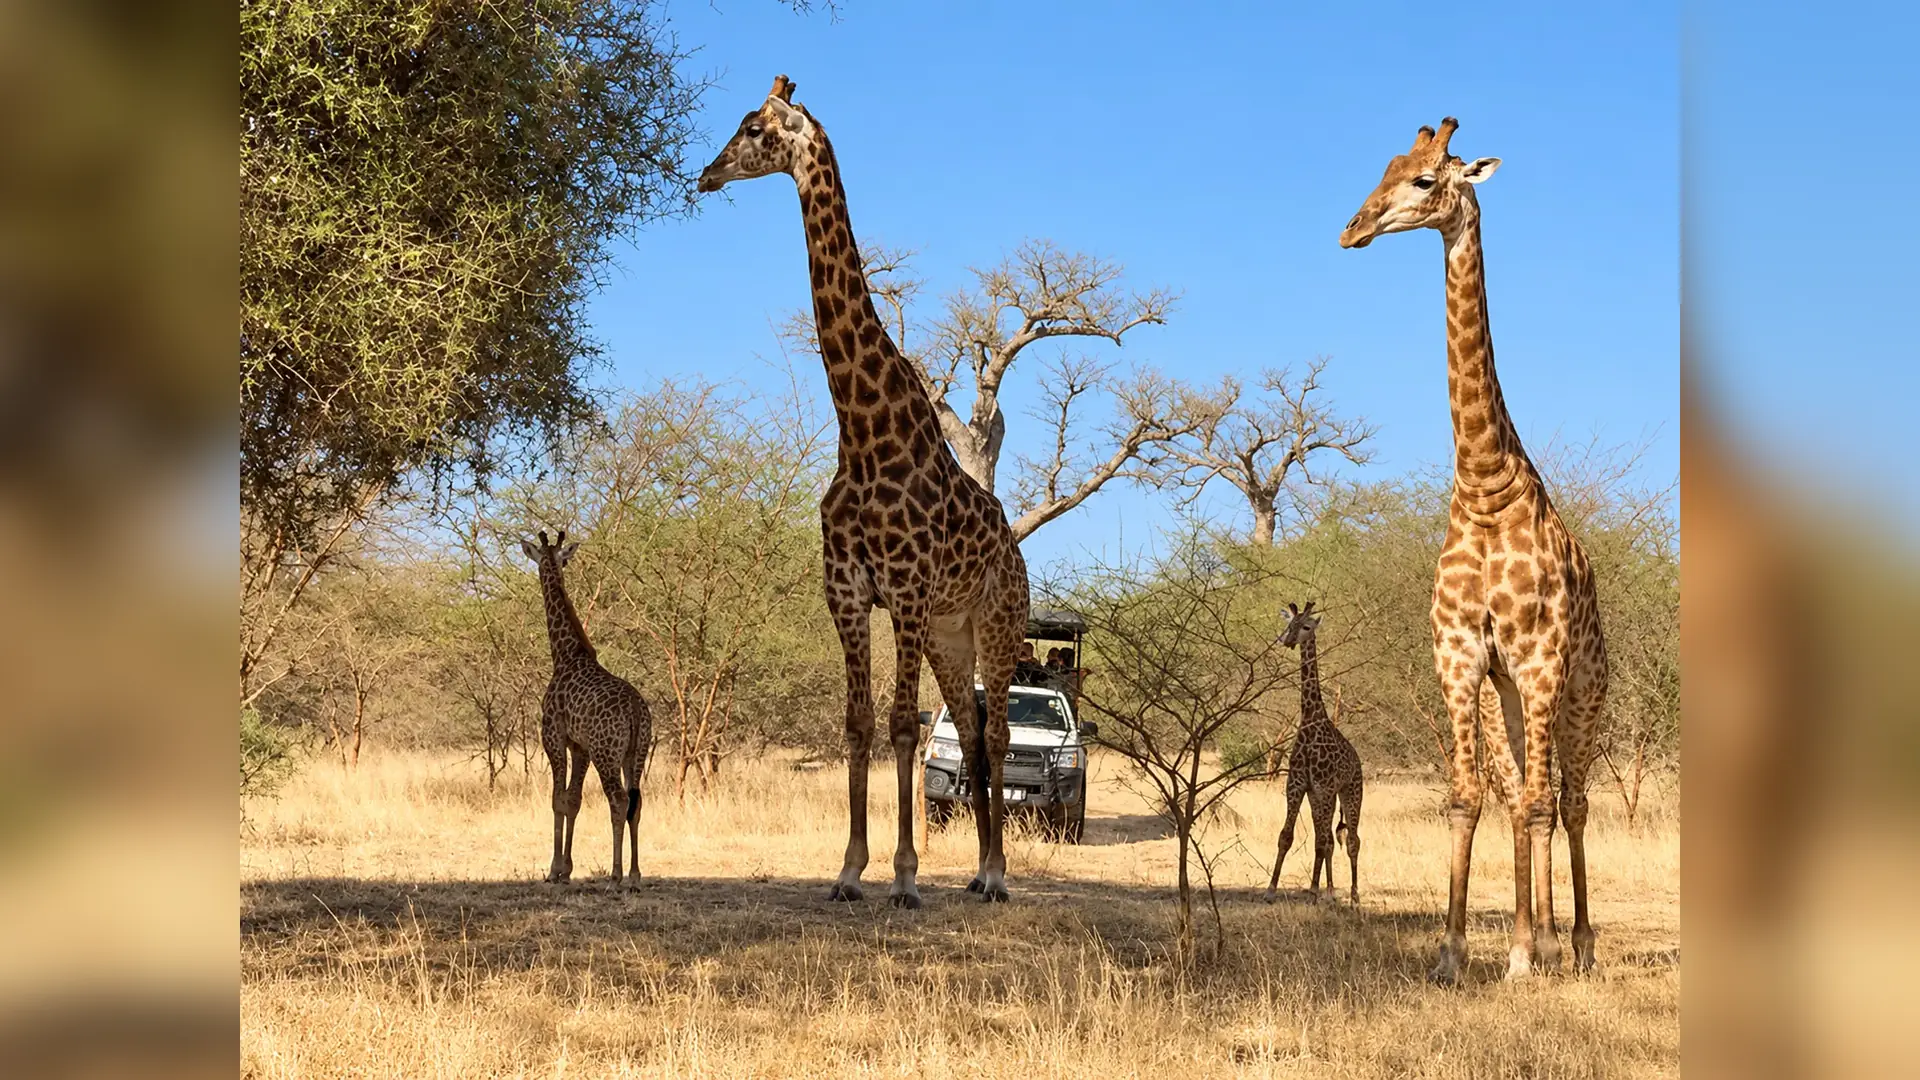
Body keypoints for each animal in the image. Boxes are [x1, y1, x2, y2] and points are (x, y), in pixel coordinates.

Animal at [520, 529, 652, 887]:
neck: (565, 654)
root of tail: (636, 710)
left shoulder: (554, 738)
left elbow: (558, 800)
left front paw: (554, 869)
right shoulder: (580, 747)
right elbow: (574, 800)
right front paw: (567, 868)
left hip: (606, 754)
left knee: (619, 800)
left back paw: (615, 875)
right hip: (635, 754)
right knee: (637, 801)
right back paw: (635, 874)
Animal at [696, 76, 1031, 906]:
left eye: (754, 129)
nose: (706, 175)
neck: (862, 428)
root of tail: (1016, 550)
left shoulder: (904, 590)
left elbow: (905, 725)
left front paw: (905, 877)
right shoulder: (847, 591)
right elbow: (858, 723)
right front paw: (849, 869)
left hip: (997, 619)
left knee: (999, 730)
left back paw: (998, 875)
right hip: (950, 633)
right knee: (971, 732)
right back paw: (975, 871)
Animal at [1265, 602, 1363, 904]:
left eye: (1307, 626)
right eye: (1289, 623)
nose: (1286, 640)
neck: (1310, 718)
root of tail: (1359, 762)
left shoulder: (1324, 786)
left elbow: (1325, 841)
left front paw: (1326, 891)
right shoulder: (1297, 785)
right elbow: (1286, 836)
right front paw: (1271, 889)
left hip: (1351, 791)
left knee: (1351, 839)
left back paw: (1352, 895)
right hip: (1319, 798)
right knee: (1328, 837)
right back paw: (1319, 888)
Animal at [1340, 118, 1608, 983]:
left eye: (1427, 180)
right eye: (1386, 169)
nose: (1353, 230)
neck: (1487, 488)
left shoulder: (1540, 660)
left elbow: (1541, 803)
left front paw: (1524, 955)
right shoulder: (1461, 657)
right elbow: (1468, 798)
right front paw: (1456, 952)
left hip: (1581, 689)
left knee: (1571, 800)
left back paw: (1575, 946)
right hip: (1511, 699)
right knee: (1530, 795)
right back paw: (1542, 938)